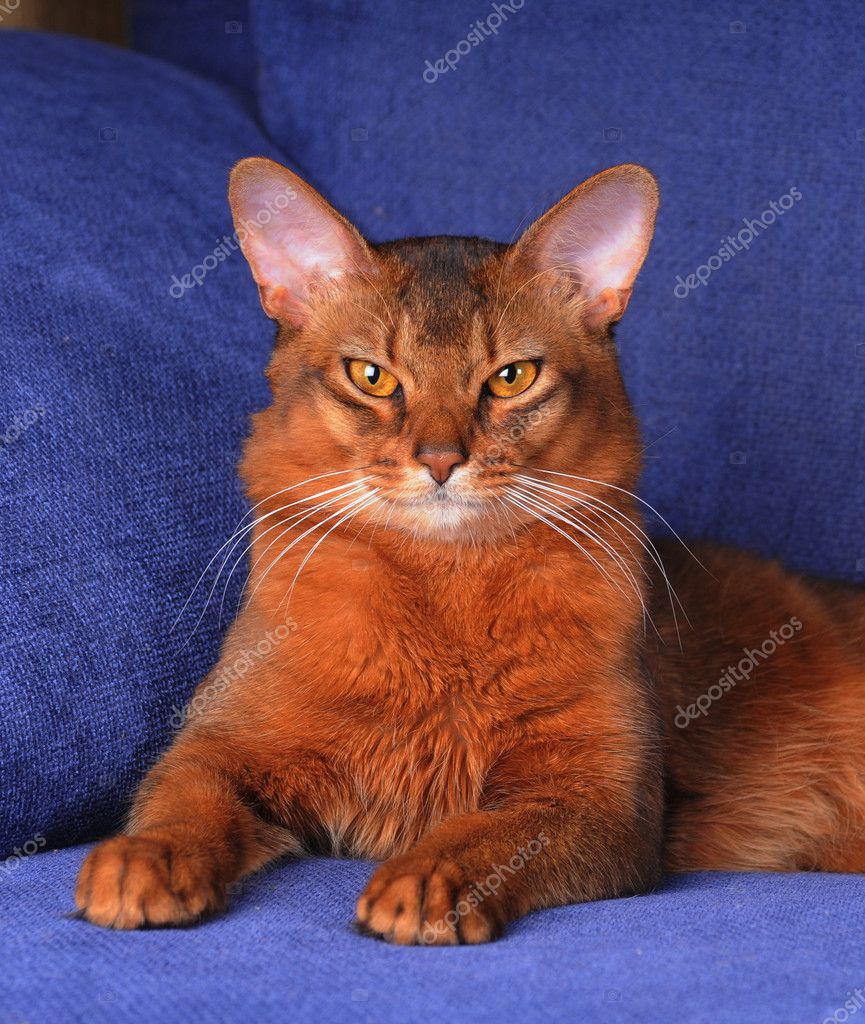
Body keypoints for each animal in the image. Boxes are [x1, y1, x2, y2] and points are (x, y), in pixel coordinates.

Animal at [75, 153, 863, 942]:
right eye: (372, 376)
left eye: (511, 377)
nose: (440, 459)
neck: (443, 587)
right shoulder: (220, 745)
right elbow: (181, 799)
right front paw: (145, 859)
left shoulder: (599, 798)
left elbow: (486, 832)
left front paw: (425, 880)